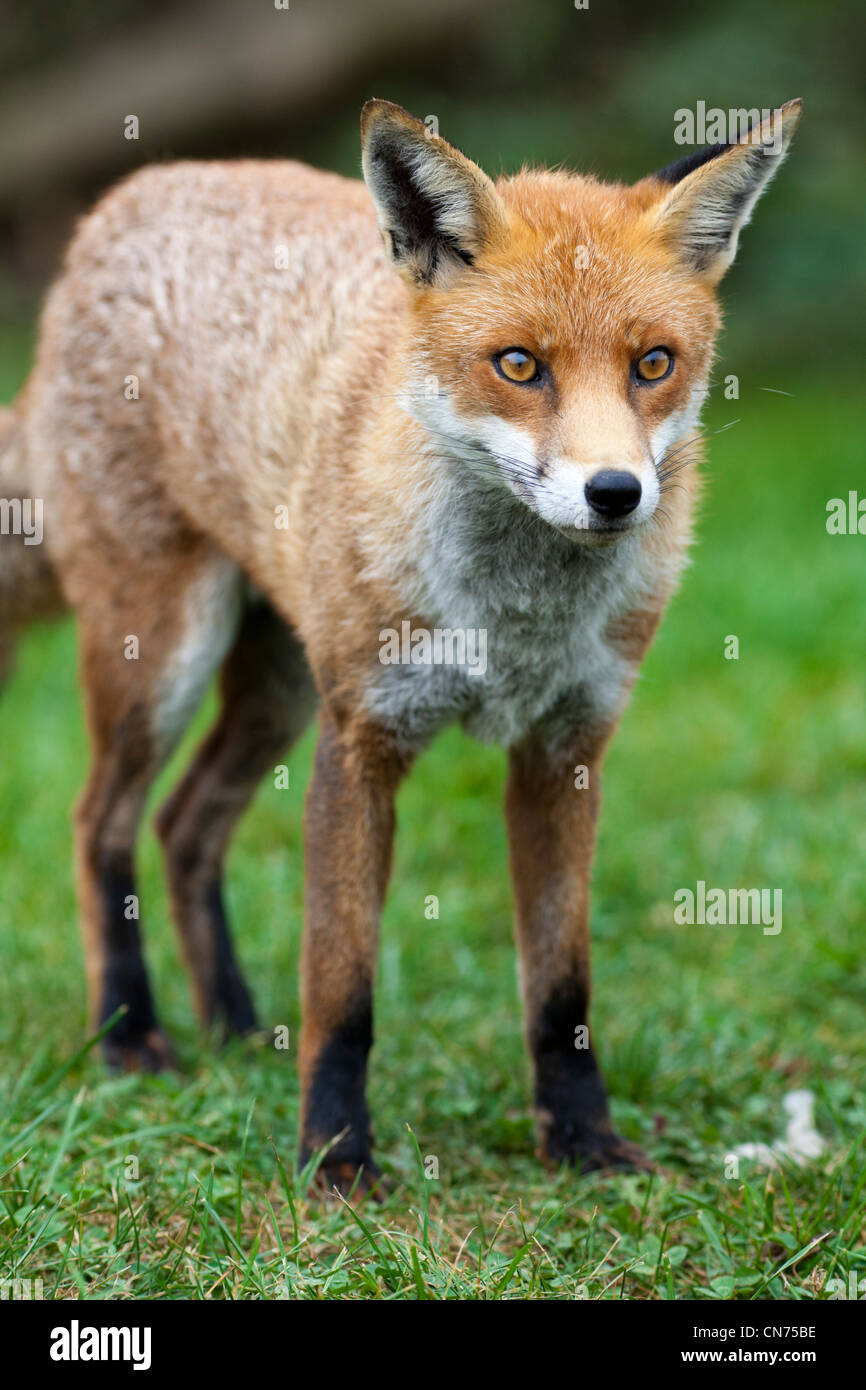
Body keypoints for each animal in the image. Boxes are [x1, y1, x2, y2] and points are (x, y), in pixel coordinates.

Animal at [0, 98, 800, 1193]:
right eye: (519, 365)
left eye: (653, 364)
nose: (614, 493)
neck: (511, 619)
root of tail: (130, 198)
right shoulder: (363, 739)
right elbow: (342, 988)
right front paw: (334, 1157)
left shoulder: (565, 752)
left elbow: (561, 991)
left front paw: (581, 1141)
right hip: (165, 655)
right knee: (99, 823)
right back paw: (129, 1035)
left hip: (278, 684)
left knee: (184, 823)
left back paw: (236, 1027)